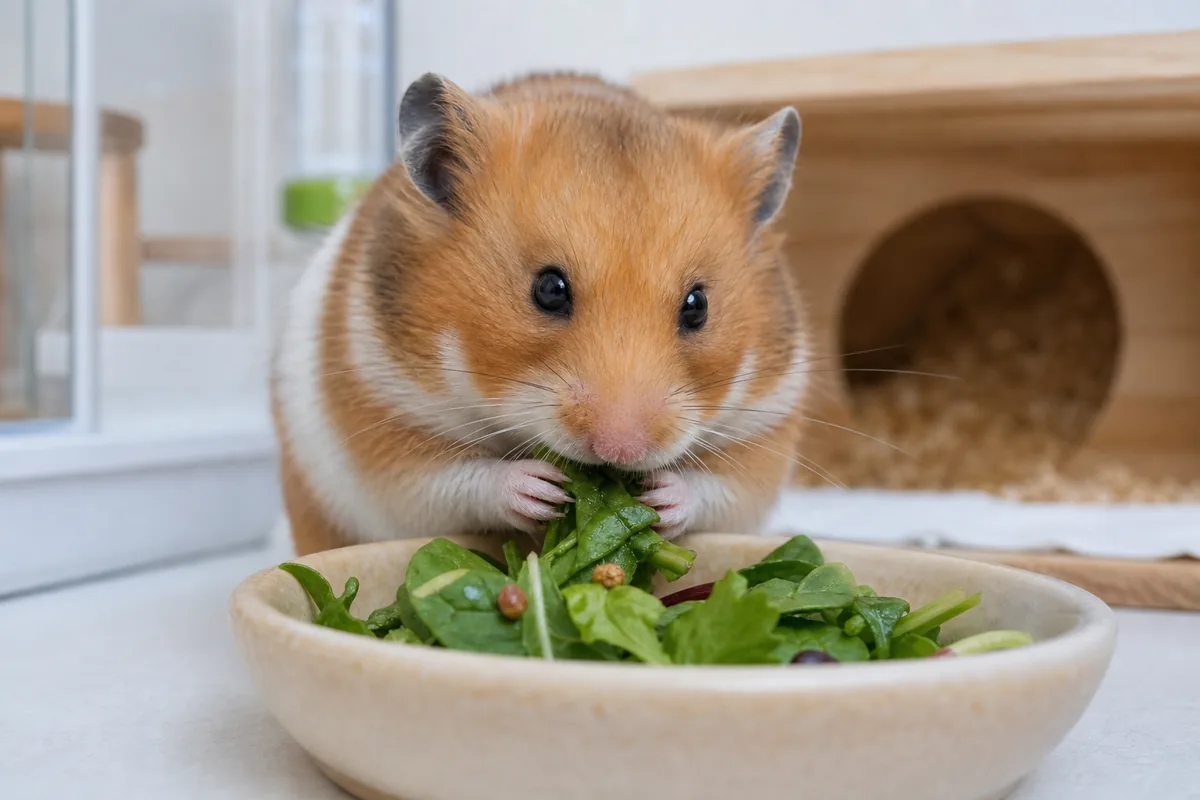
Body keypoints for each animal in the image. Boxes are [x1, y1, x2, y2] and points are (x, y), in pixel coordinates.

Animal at [272, 71, 810, 557]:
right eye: (549, 290)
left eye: (698, 306)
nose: (620, 451)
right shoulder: (386, 414)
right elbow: (454, 480)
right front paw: (544, 490)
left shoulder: (765, 426)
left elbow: (719, 488)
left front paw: (660, 500)